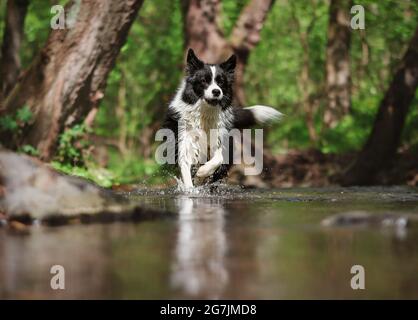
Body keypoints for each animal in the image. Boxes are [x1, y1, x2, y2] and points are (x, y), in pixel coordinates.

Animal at [162, 48, 280, 189]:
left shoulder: (220, 137)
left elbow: (219, 158)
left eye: (221, 82)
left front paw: (202, 172)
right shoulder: (185, 140)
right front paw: (191, 189)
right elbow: (186, 167)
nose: (216, 91)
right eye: (204, 80)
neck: (205, 113)